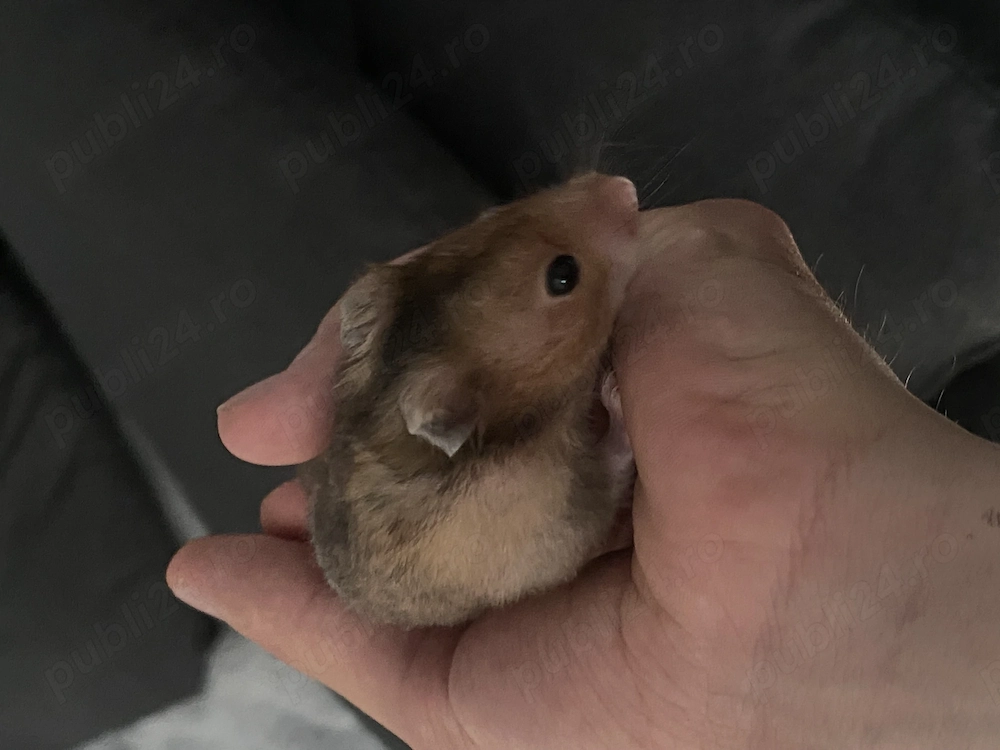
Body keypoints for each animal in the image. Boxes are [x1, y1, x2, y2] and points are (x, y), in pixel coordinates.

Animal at [299, 171, 640, 628]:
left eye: (497, 212)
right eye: (563, 275)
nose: (624, 185)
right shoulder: (567, 509)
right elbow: (613, 464)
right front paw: (613, 391)